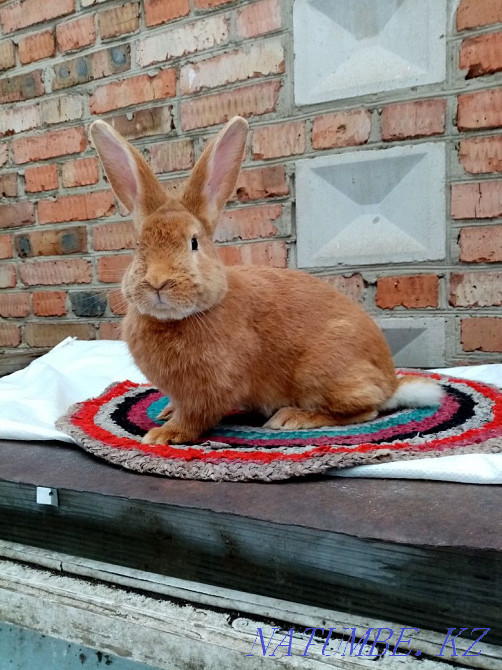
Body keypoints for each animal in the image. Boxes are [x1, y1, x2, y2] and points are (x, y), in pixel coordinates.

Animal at [90, 116, 443, 446]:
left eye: (194, 243)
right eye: (139, 245)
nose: (158, 282)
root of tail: (391, 385)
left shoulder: (210, 388)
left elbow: (196, 417)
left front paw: (164, 434)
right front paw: (165, 412)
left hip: (322, 372)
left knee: (365, 410)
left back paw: (292, 418)